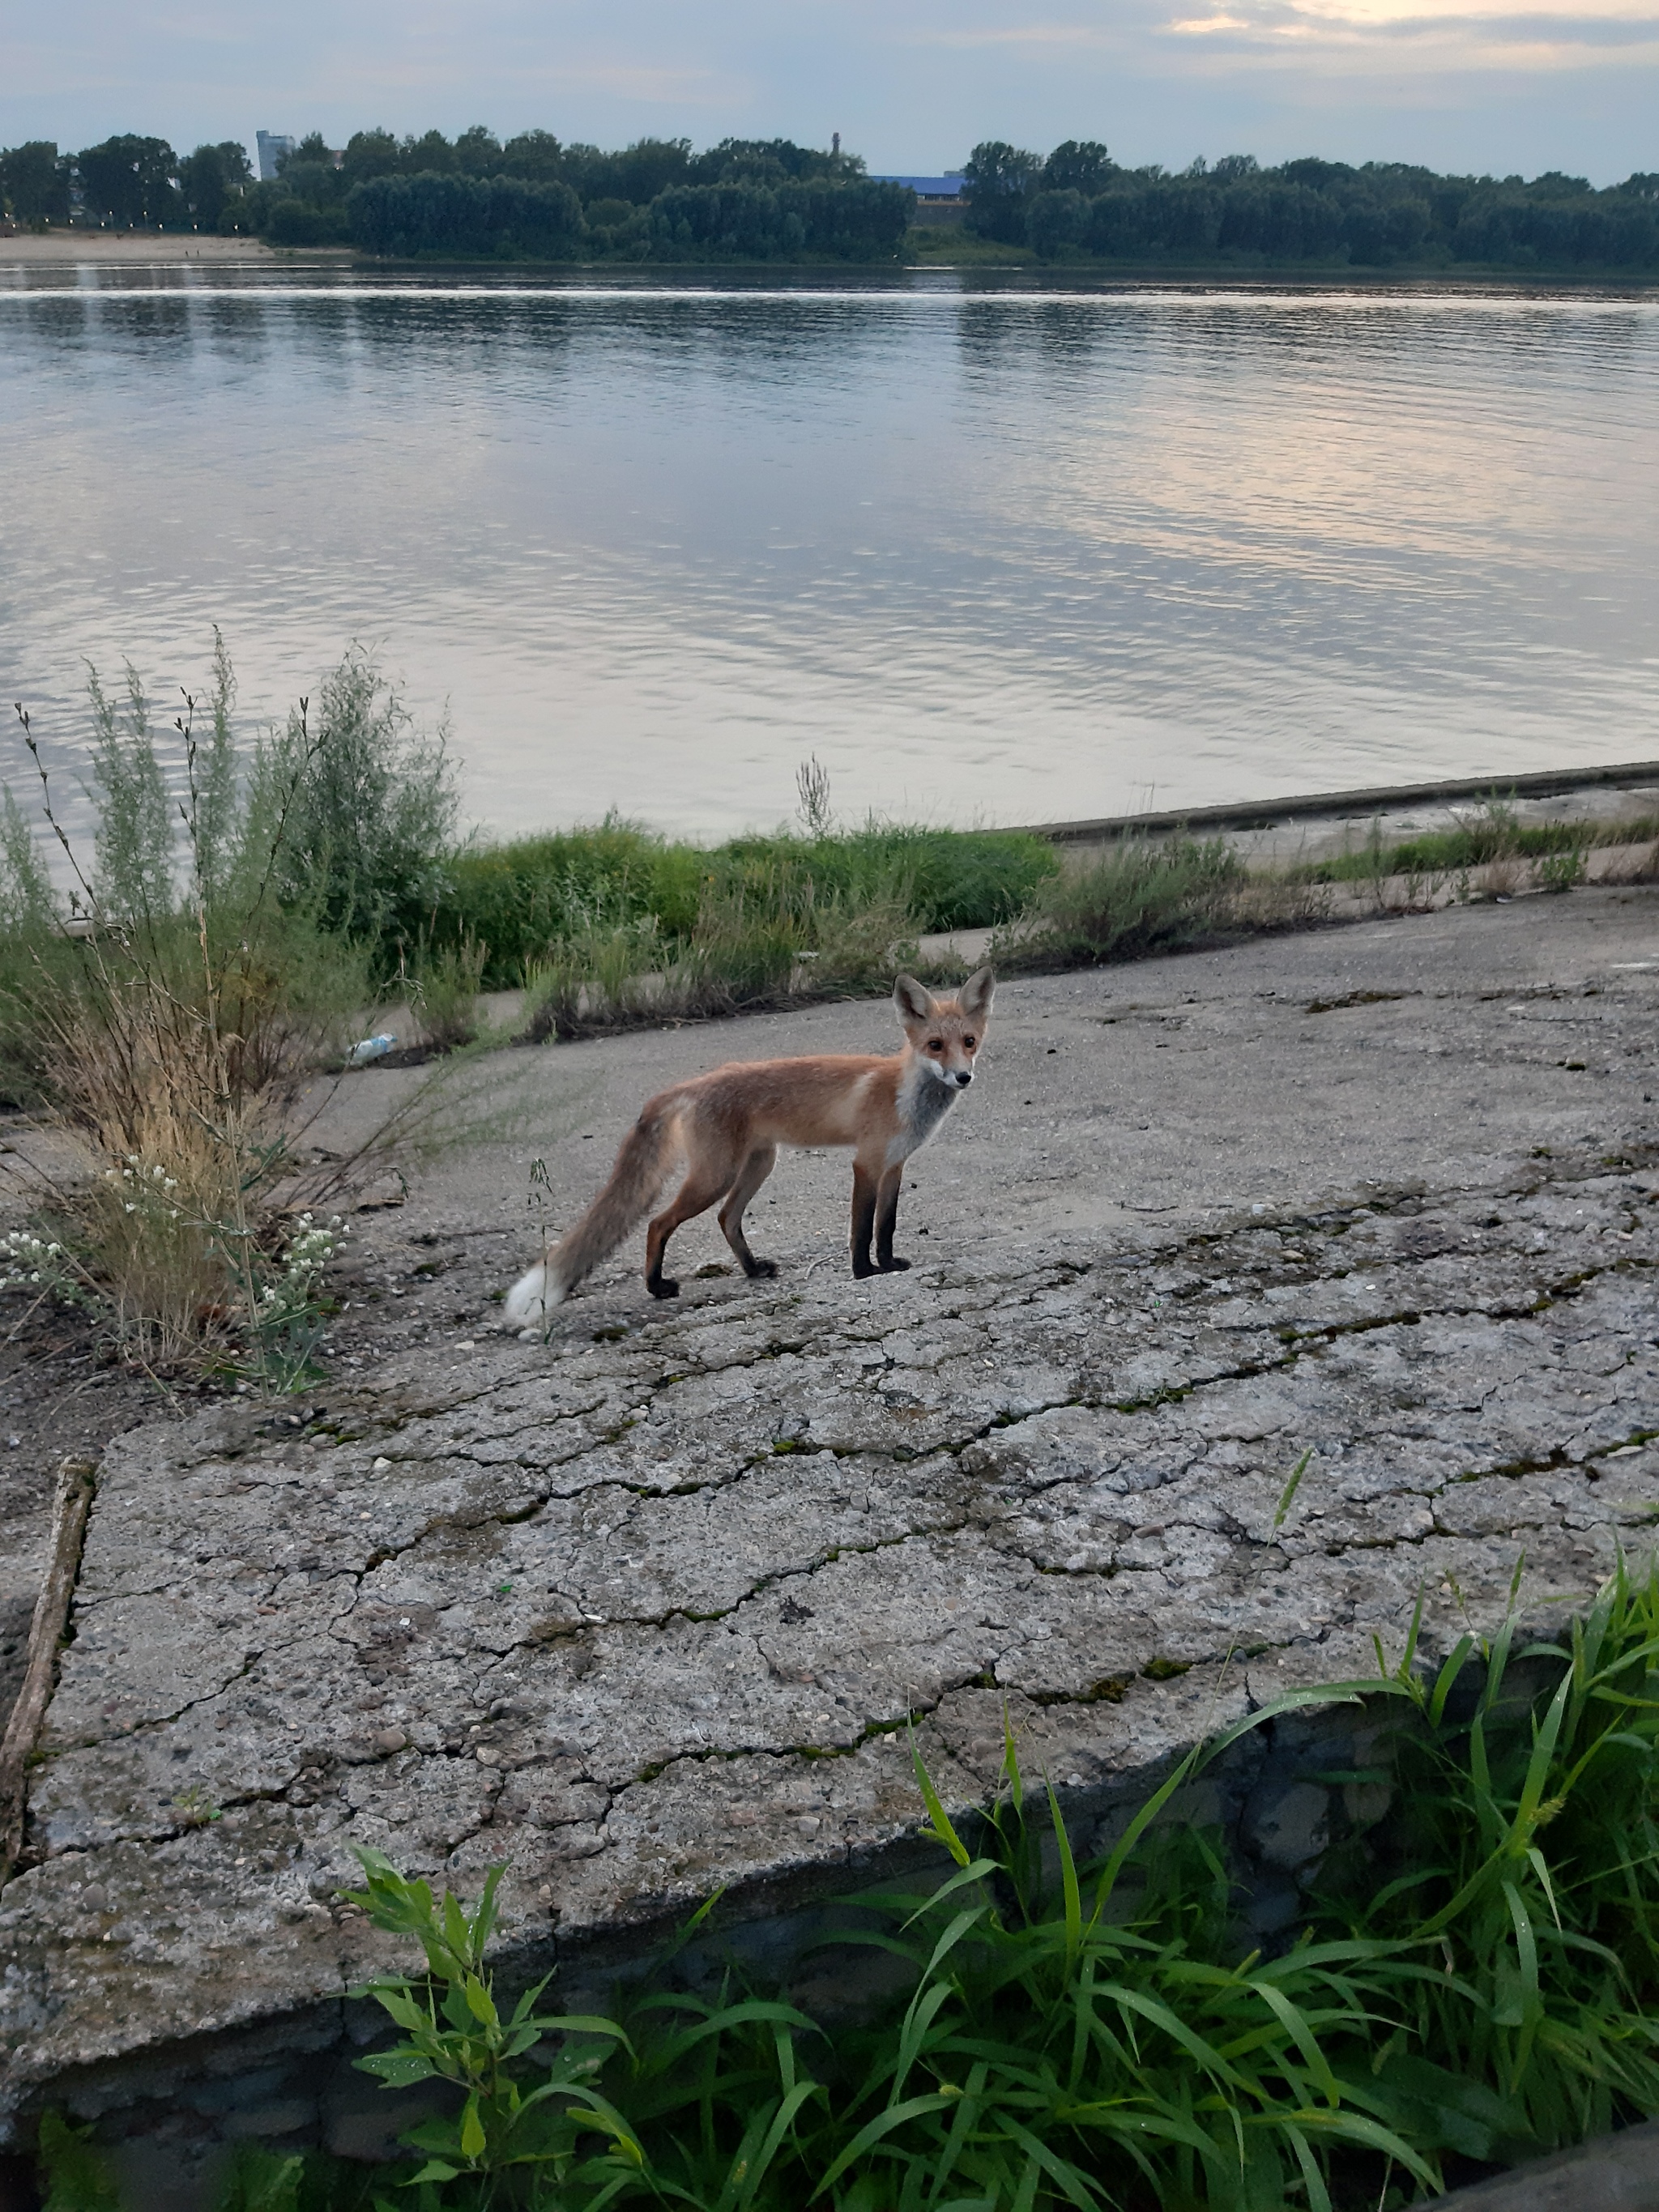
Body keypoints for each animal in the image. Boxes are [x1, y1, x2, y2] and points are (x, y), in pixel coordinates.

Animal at [504, 964, 1000, 1309]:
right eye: (935, 1045)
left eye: (969, 1042)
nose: (963, 1077)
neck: (904, 1096)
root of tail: (695, 1084)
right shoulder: (866, 1163)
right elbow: (860, 1229)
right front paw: (864, 1272)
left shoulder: (895, 1165)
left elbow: (886, 1226)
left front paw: (888, 1264)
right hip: (715, 1176)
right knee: (659, 1222)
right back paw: (656, 1287)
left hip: (759, 1164)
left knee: (727, 1218)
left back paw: (753, 1269)